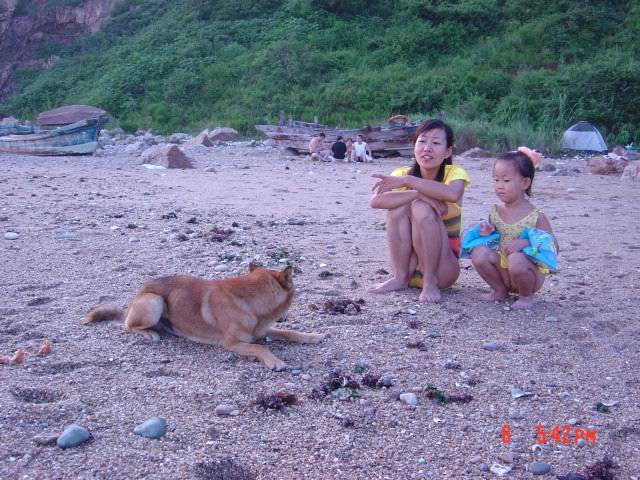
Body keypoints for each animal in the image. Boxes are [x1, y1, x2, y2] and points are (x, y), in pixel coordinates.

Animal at [85, 265, 324, 370]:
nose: (285, 316)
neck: (250, 298)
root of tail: (138, 293)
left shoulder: (262, 329)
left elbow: (289, 332)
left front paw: (312, 336)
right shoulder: (233, 344)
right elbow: (259, 348)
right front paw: (275, 361)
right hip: (154, 302)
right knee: (128, 325)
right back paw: (149, 333)